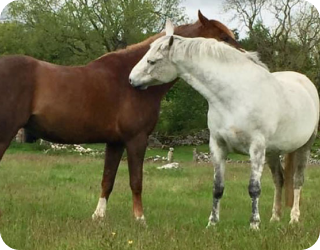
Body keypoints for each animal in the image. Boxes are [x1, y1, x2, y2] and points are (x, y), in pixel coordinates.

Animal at [0, 11, 240, 223]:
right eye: (224, 37)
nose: (243, 57)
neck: (132, 82)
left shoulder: (115, 142)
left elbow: (108, 180)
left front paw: (98, 217)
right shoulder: (137, 139)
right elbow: (136, 181)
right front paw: (140, 219)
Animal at [129, 20, 318, 229]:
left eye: (152, 61)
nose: (131, 80)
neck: (235, 96)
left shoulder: (256, 148)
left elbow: (254, 188)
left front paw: (254, 224)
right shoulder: (218, 145)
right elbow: (217, 187)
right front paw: (212, 223)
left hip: (304, 146)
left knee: (297, 180)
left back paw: (294, 218)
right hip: (273, 152)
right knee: (279, 179)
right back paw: (275, 218)